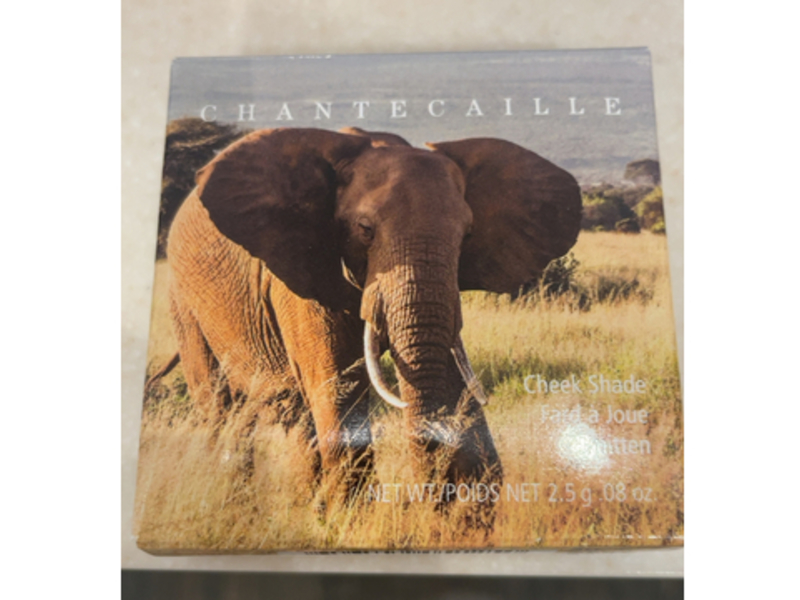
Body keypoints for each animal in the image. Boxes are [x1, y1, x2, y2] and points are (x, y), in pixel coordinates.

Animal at [158, 125, 582, 518]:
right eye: (365, 231)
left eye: (467, 236)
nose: (442, 498)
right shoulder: (299, 270)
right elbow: (338, 386)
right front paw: (349, 522)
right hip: (182, 300)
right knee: (220, 407)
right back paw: (235, 506)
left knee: (288, 414)